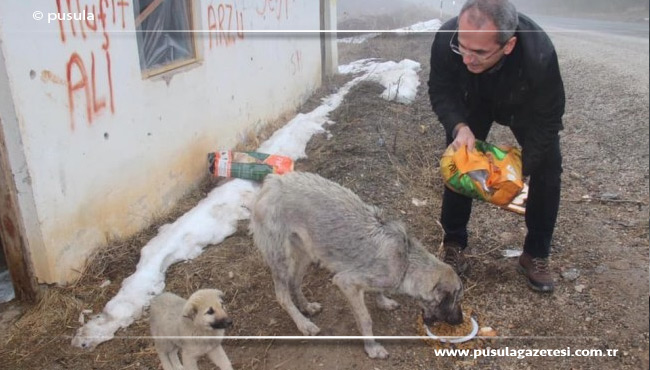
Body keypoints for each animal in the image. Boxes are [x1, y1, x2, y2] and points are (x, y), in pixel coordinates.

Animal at [247, 172, 460, 356]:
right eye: (456, 299)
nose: (461, 321)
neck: (406, 260)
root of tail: (269, 184)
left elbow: (378, 292)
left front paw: (384, 302)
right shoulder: (346, 282)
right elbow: (365, 320)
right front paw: (372, 349)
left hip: (307, 253)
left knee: (294, 283)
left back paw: (307, 307)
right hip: (281, 259)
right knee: (282, 296)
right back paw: (304, 324)